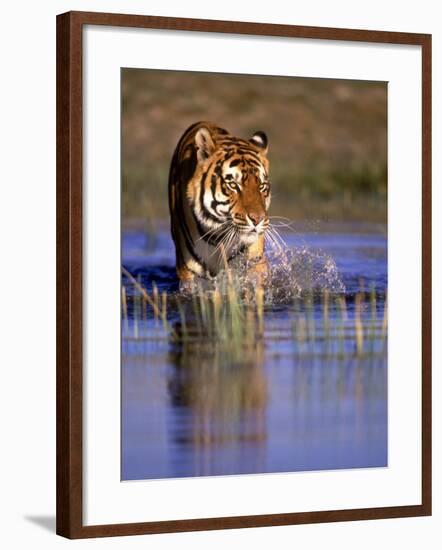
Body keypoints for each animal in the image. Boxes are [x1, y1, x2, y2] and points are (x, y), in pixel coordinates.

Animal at [168, 122, 272, 282]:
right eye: (233, 185)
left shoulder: (254, 262)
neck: (218, 238)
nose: (258, 219)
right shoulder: (189, 271)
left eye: (261, 186)